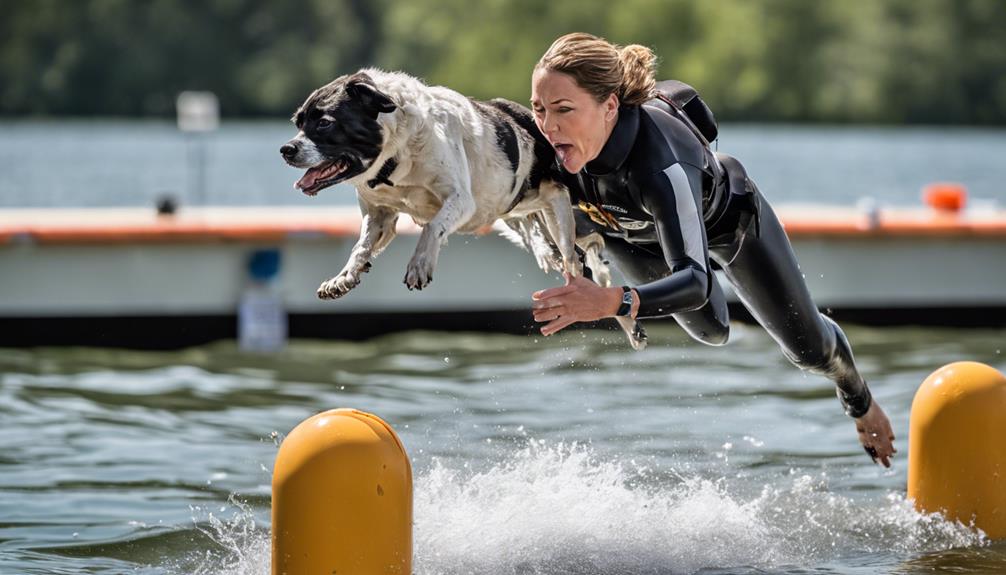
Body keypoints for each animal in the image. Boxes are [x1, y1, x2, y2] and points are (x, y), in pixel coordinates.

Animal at [283, 67, 643, 345]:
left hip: (560, 215)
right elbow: (361, 246)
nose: (286, 149)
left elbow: (432, 226)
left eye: (325, 122)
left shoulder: (459, 199)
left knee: (584, 264)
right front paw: (343, 277)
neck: (395, 156)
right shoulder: (379, 215)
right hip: (521, 217)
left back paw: (626, 323)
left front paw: (420, 264)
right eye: (298, 122)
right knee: (568, 257)